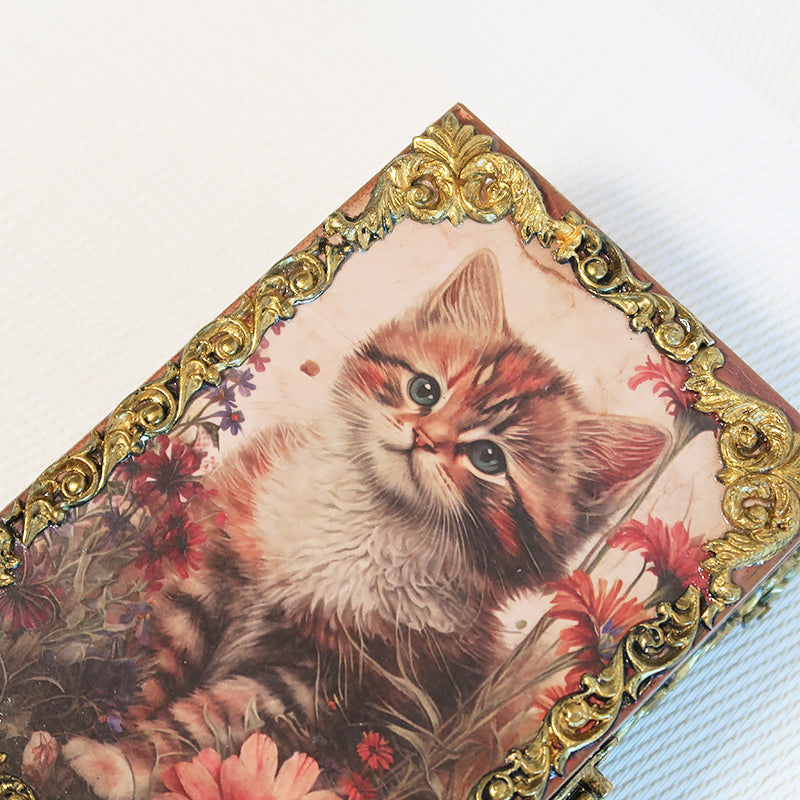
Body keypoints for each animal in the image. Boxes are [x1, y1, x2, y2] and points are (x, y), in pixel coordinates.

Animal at [64, 248, 668, 800]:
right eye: (425, 389)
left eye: (489, 459)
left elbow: (211, 717)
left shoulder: (337, 675)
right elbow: (155, 662)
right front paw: (111, 727)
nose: (423, 437)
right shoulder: (216, 559)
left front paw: (123, 761)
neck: (369, 520)